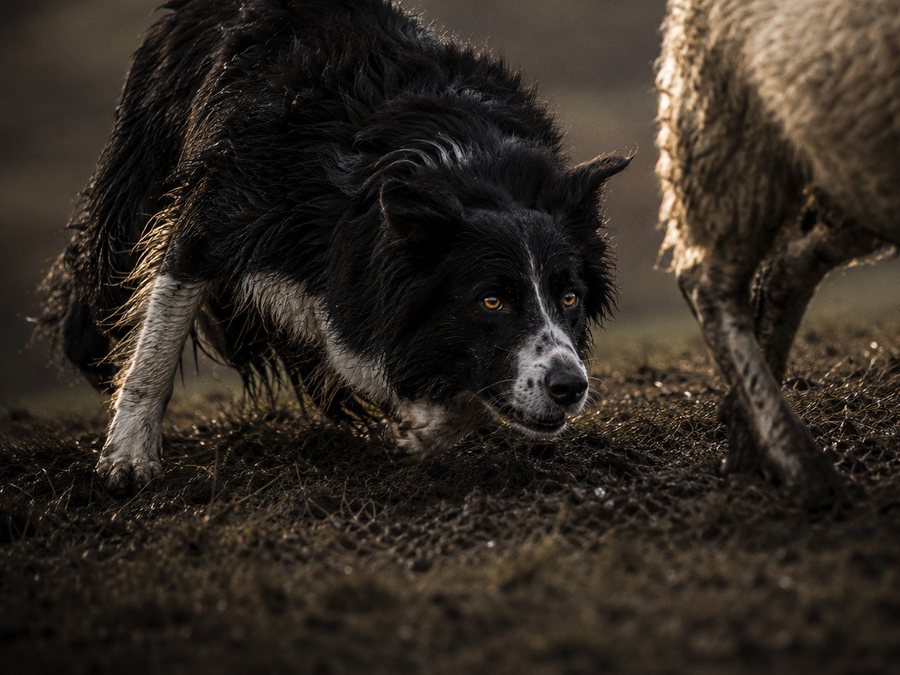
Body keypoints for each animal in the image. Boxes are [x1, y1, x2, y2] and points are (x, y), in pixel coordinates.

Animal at [655, 0, 899, 500]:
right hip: (730, 134)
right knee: (709, 285)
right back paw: (800, 464)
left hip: (848, 161)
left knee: (789, 264)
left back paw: (747, 442)